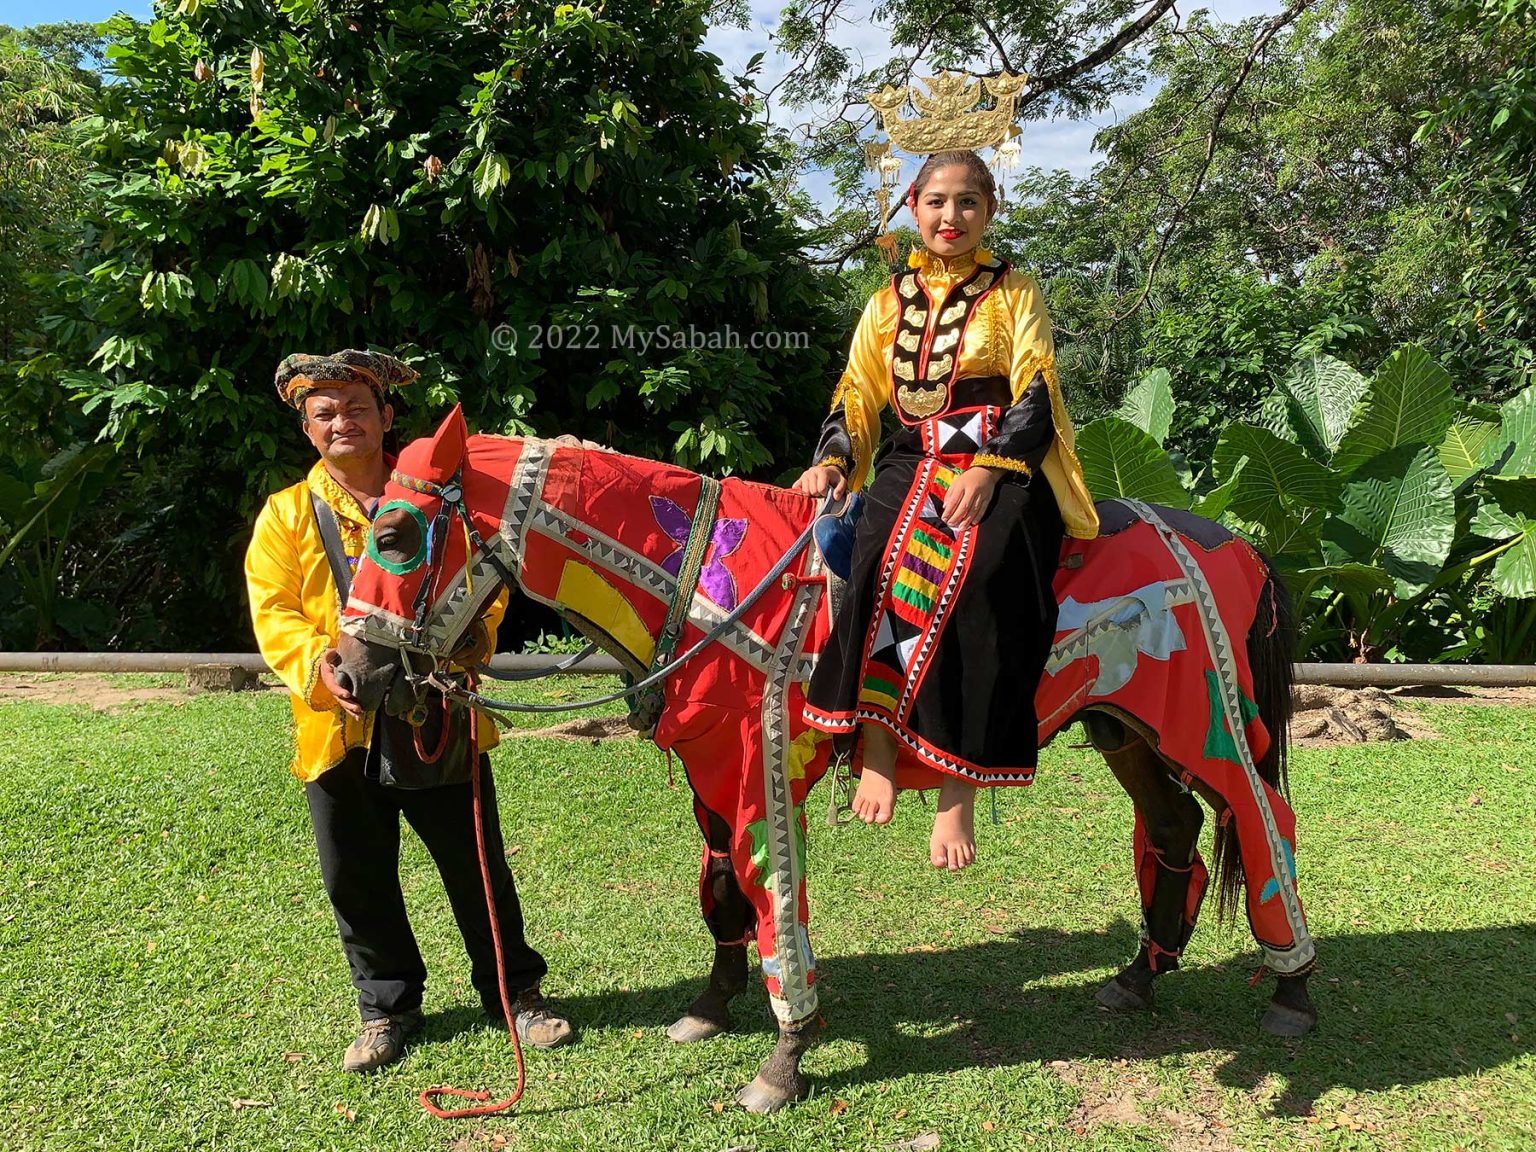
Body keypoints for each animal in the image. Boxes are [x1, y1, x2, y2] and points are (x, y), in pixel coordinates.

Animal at [336, 411, 1320, 1112]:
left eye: (398, 538)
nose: (346, 674)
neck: (702, 579)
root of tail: (1238, 545)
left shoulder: (764, 772)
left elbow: (774, 897)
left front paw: (785, 1058)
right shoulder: (713, 772)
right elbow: (723, 888)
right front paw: (712, 1007)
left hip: (1212, 723)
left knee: (1265, 825)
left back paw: (1294, 991)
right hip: (1125, 729)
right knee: (1175, 830)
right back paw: (1140, 977)